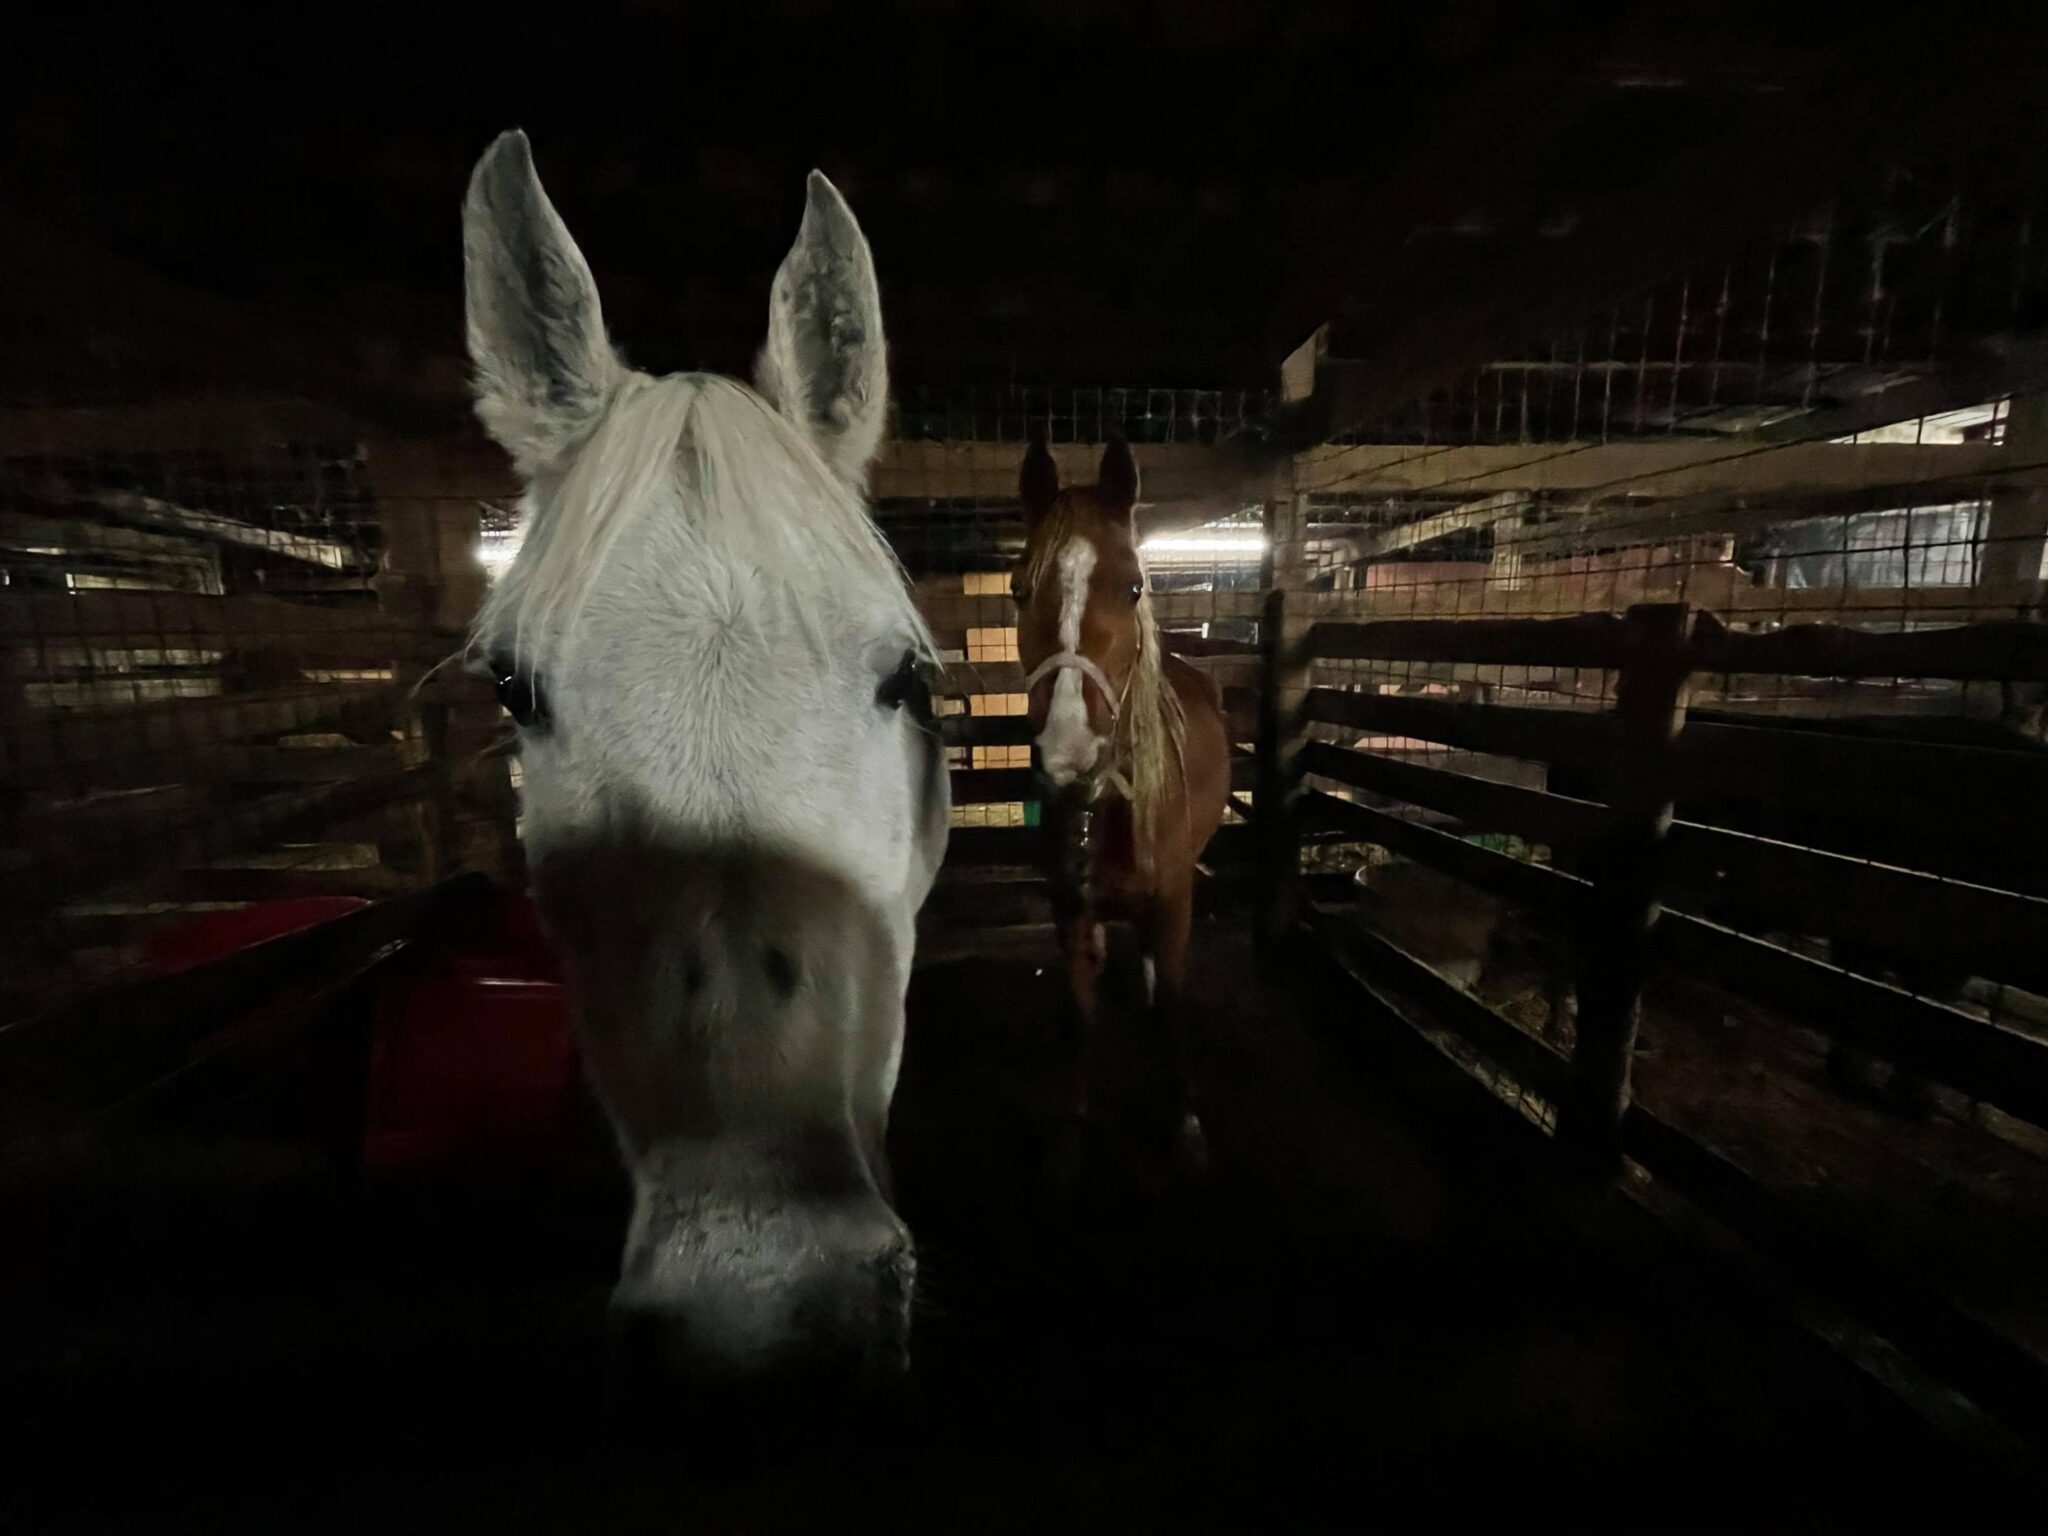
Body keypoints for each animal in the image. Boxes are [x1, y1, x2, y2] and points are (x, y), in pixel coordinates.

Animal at [1011, 436, 1232, 1175]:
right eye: (1018, 588)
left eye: (1134, 586)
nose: (1069, 752)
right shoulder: (1071, 908)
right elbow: (1081, 1018)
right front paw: (1069, 1139)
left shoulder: (1175, 902)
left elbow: (1172, 1012)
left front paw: (1187, 1123)